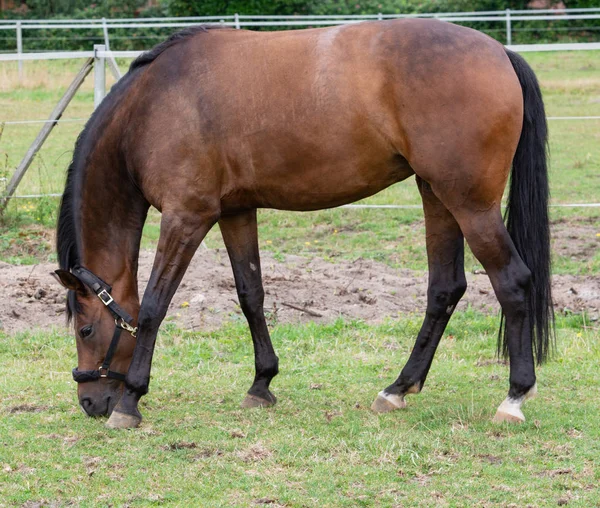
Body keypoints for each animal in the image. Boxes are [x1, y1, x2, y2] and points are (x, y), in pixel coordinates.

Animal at [52, 19, 552, 430]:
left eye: (85, 330)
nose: (90, 403)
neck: (153, 105)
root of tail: (499, 52)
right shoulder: (236, 212)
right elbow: (250, 295)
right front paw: (261, 384)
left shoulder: (187, 217)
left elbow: (155, 306)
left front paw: (130, 402)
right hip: (437, 195)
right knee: (445, 289)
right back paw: (397, 389)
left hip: (470, 205)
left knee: (512, 281)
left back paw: (514, 397)